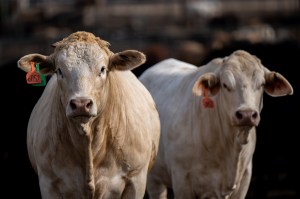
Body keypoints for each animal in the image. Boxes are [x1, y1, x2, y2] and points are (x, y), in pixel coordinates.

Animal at [139, 49, 294, 199]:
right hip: (153, 179)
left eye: (261, 84)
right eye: (225, 85)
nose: (247, 114)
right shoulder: (182, 180)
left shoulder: (244, 179)